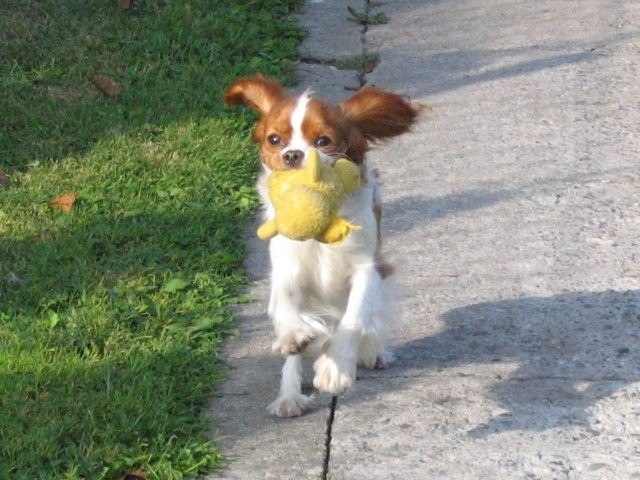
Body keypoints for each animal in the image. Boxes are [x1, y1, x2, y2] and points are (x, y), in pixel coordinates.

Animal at [225, 74, 420, 417]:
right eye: (274, 140)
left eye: (323, 141)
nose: (292, 155)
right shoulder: (287, 268)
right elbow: (284, 305)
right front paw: (293, 336)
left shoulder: (367, 269)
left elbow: (354, 319)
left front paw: (334, 369)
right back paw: (289, 396)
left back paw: (373, 352)